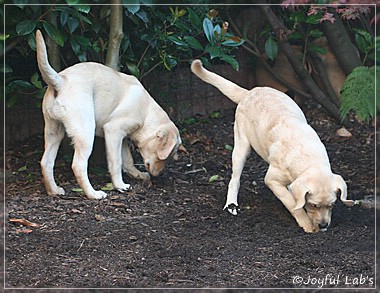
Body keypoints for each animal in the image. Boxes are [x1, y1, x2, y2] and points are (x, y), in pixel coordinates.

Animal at [36, 30, 182, 198]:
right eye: (166, 156)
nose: (158, 175)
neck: (146, 113)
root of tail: (60, 80)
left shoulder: (123, 138)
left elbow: (128, 160)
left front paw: (137, 175)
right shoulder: (113, 131)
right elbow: (116, 162)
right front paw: (120, 185)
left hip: (54, 131)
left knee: (46, 162)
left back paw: (53, 191)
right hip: (86, 131)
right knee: (78, 165)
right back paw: (93, 194)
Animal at [190, 59, 354, 233]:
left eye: (332, 205)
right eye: (313, 205)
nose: (323, 226)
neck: (307, 159)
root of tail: (249, 92)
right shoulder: (272, 180)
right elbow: (292, 202)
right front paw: (306, 223)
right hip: (241, 147)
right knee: (234, 179)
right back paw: (231, 204)